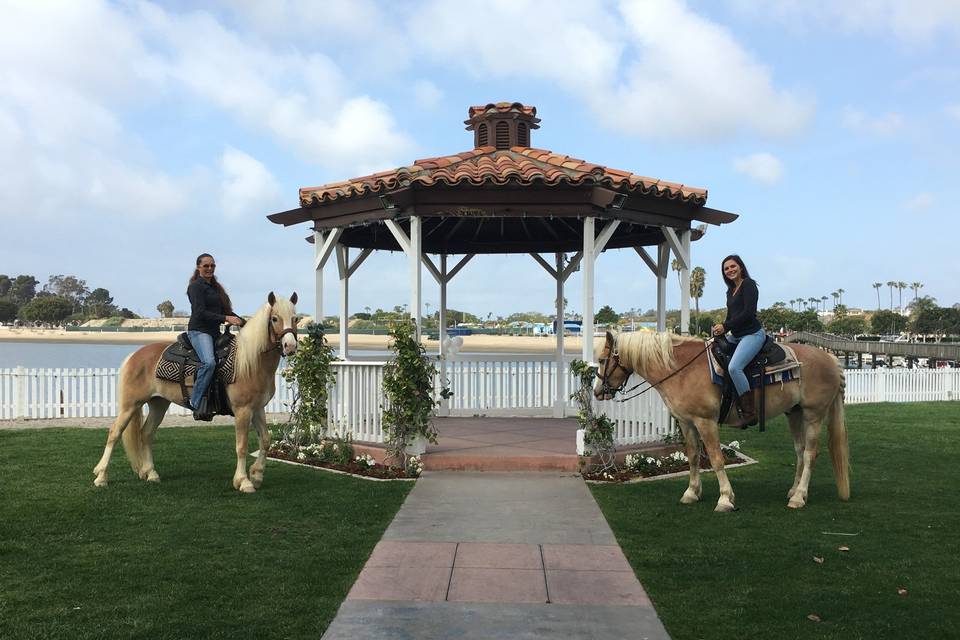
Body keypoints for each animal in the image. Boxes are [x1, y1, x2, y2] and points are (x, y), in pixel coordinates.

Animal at [94, 292, 298, 492]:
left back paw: (151, 473)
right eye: (274, 318)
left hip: (158, 404)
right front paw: (243, 481)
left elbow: (266, 440)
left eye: (295, 318)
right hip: (130, 405)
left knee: (146, 434)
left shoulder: (257, 409)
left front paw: (256, 475)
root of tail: (134, 356)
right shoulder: (243, 410)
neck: (250, 362)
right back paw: (101, 477)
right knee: (114, 433)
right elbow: (242, 446)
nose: (290, 346)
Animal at [596, 332, 852, 512]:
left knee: (810, 454)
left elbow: (717, 459)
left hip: (813, 415)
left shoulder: (705, 422)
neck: (682, 369)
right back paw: (795, 491)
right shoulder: (687, 423)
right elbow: (693, 457)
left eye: (601, 359)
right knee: (799, 451)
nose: (599, 392)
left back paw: (799, 497)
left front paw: (725, 498)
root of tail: (830, 358)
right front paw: (692, 492)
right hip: (795, 413)